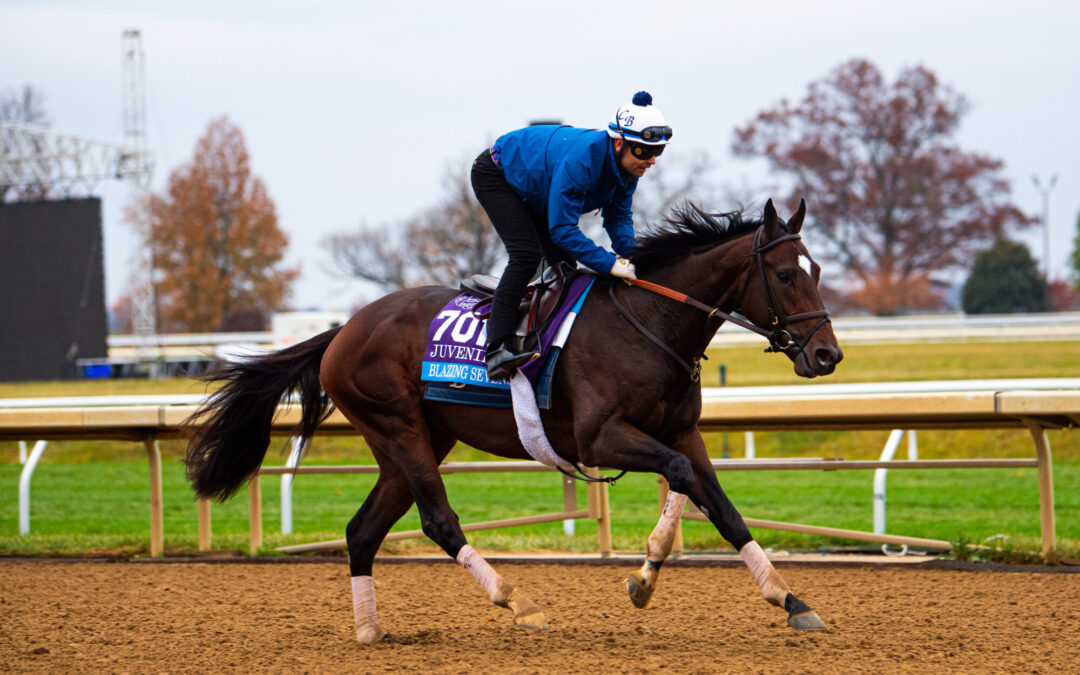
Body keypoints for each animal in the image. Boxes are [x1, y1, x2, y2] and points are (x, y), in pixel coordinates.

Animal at [185, 196, 842, 643]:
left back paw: (371, 631)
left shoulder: (679, 430)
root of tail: (342, 330)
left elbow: (719, 505)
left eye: (816, 271)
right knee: (438, 521)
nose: (827, 355)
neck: (651, 322)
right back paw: (516, 600)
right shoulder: (600, 438)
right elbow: (680, 475)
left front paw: (787, 597)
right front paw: (646, 576)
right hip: (397, 427)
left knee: (362, 531)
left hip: (414, 441)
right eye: (786, 275)